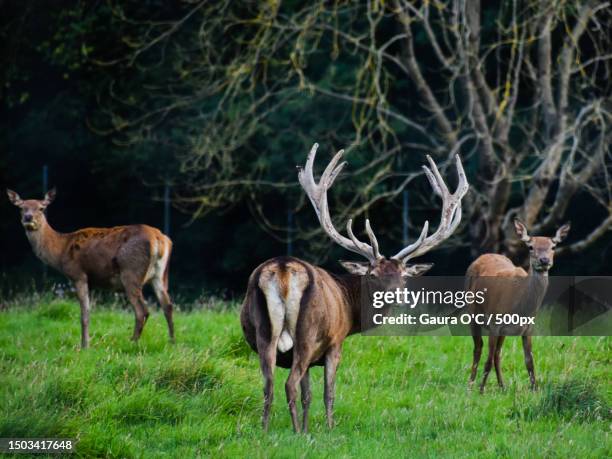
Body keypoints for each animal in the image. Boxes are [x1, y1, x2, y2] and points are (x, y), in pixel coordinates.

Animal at [7, 188, 175, 348]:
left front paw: (85, 345)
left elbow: (84, 314)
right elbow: (89, 311)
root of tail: (159, 239)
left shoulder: (78, 274)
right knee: (167, 305)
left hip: (131, 271)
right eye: (21, 207)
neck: (61, 251)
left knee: (142, 310)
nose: (28, 218)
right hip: (160, 274)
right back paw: (172, 341)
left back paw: (132, 342)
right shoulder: (92, 282)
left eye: (41, 208)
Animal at [240, 145, 468, 434]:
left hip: (263, 332)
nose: (397, 295)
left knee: (268, 385)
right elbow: (328, 392)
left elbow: (307, 394)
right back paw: (295, 431)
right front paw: (327, 428)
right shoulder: (335, 342)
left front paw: (308, 429)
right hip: (306, 332)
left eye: (404, 277)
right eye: (372, 275)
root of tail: (282, 269)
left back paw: (267, 430)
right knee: (288, 383)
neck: (350, 312)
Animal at [466, 221, 572, 394]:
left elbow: (529, 361)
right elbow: (487, 360)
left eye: (553, 246)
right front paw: (481, 391)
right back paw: (470, 385)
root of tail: (483, 255)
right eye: (530, 246)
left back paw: (502, 386)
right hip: (472, 313)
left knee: (497, 353)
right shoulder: (495, 323)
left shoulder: (528, 327)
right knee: (478, 348)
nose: (544, 260)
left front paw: (535, 390)